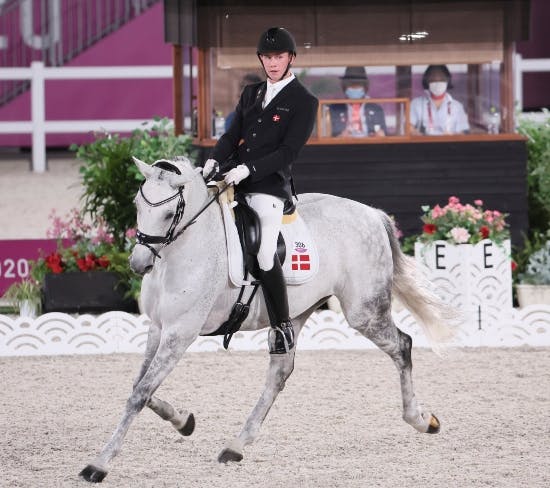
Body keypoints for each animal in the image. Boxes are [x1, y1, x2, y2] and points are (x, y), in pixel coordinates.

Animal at [77, 155, 458, 480]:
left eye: (171, 211)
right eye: (138, 205)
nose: (139, 264)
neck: (184, 250)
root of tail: (372, 214)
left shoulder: (180, 333)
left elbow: (141, 393)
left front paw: (99, 464)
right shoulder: (158, 329)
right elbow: (140, 385)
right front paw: (184, 421)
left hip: (363, 311)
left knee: (402, 346)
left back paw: (422, 420)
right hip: (295, 313)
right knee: (280, 373)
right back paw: (236, 445)